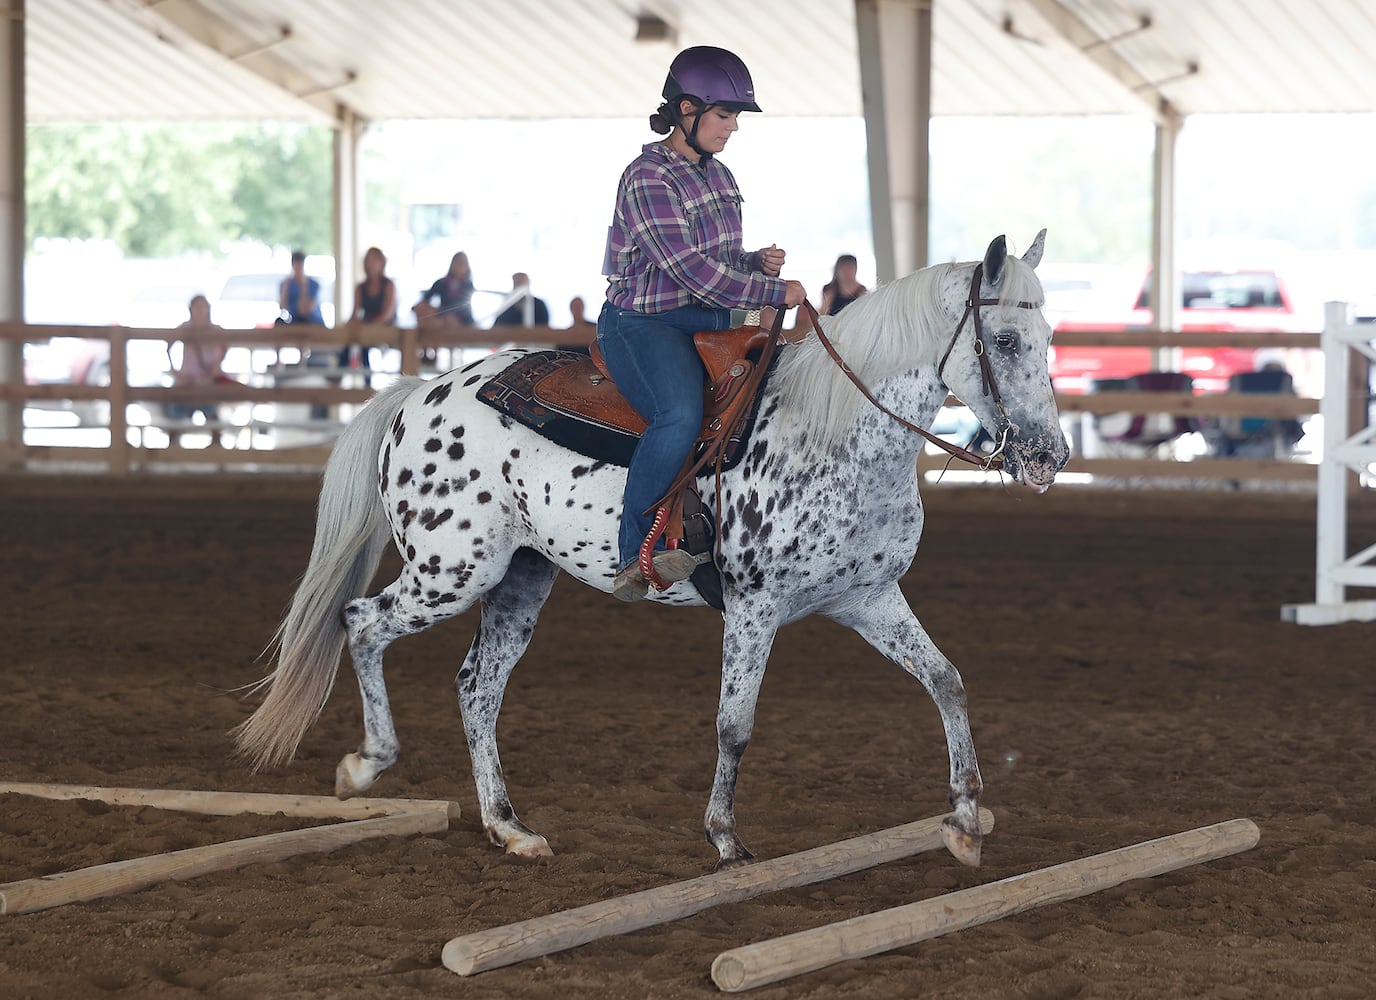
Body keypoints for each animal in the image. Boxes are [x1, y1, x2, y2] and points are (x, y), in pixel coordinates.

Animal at [233, 231, 1073, 874]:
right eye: (1004, 339)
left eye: (1051, 339)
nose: (1049, 456)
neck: (832, 431)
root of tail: (415, 394)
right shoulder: (755, 606)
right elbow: (735, 724)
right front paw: (726, 839)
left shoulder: (868, 598)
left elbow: (947, 682)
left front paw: (964, 822)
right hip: (451, 570)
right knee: (360, 622)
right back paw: (365, 765)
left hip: (520, 580)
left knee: (477, 686)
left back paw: (510, 827)